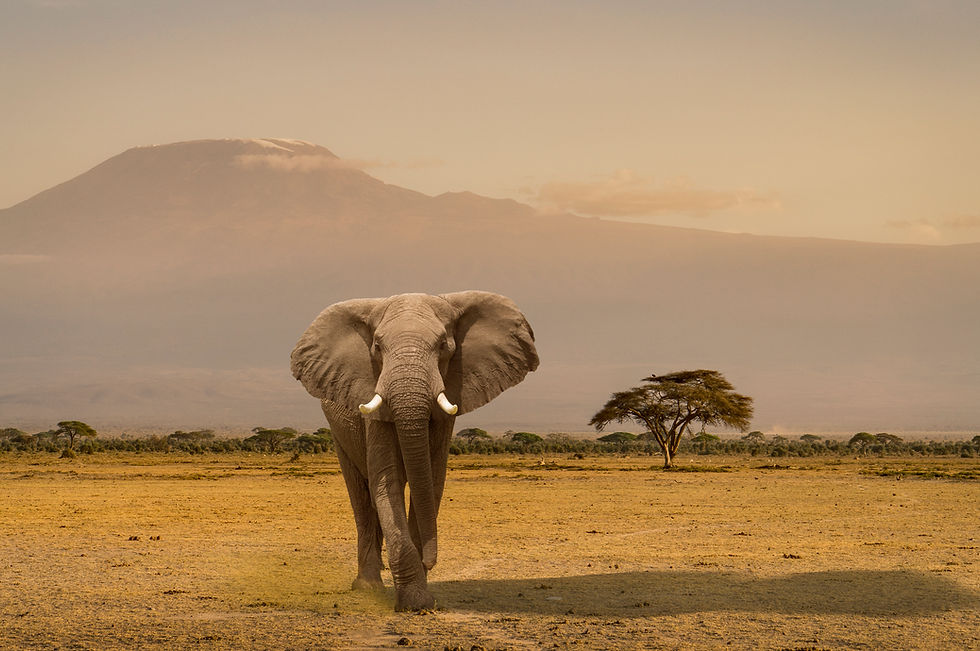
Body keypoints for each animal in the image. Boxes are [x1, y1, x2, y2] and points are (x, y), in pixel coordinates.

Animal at [290, 291, 538, 610]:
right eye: (377, 347)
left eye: (444, 346)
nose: (430, 562)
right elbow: (387, 482)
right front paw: (415, 602)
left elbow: (431, 482)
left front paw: (420, 596)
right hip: (337, 430)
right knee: (362, 497)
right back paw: (368, 587)